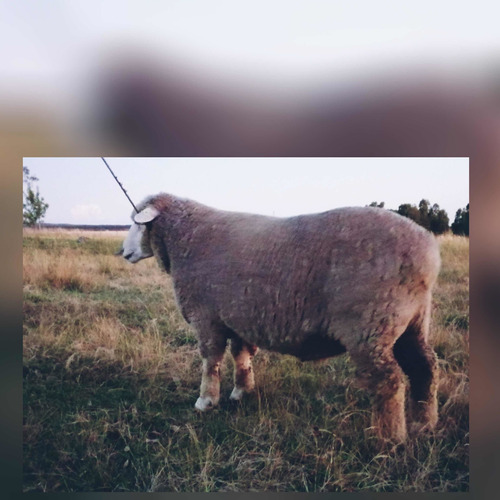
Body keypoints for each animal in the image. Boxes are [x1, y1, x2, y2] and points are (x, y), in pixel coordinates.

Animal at [121, 191, 442, 442]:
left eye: (136, 223)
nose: (122, 252)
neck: (185, 239)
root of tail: (428, 251)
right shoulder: (238, 317)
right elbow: (241, 356)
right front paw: (242, 391)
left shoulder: (207, 318)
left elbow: (210, 363)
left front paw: (206, 401)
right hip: (411, 322)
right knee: (424, 368)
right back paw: (424, 424)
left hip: (371, 326)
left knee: (389, 381)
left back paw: (389, 438)